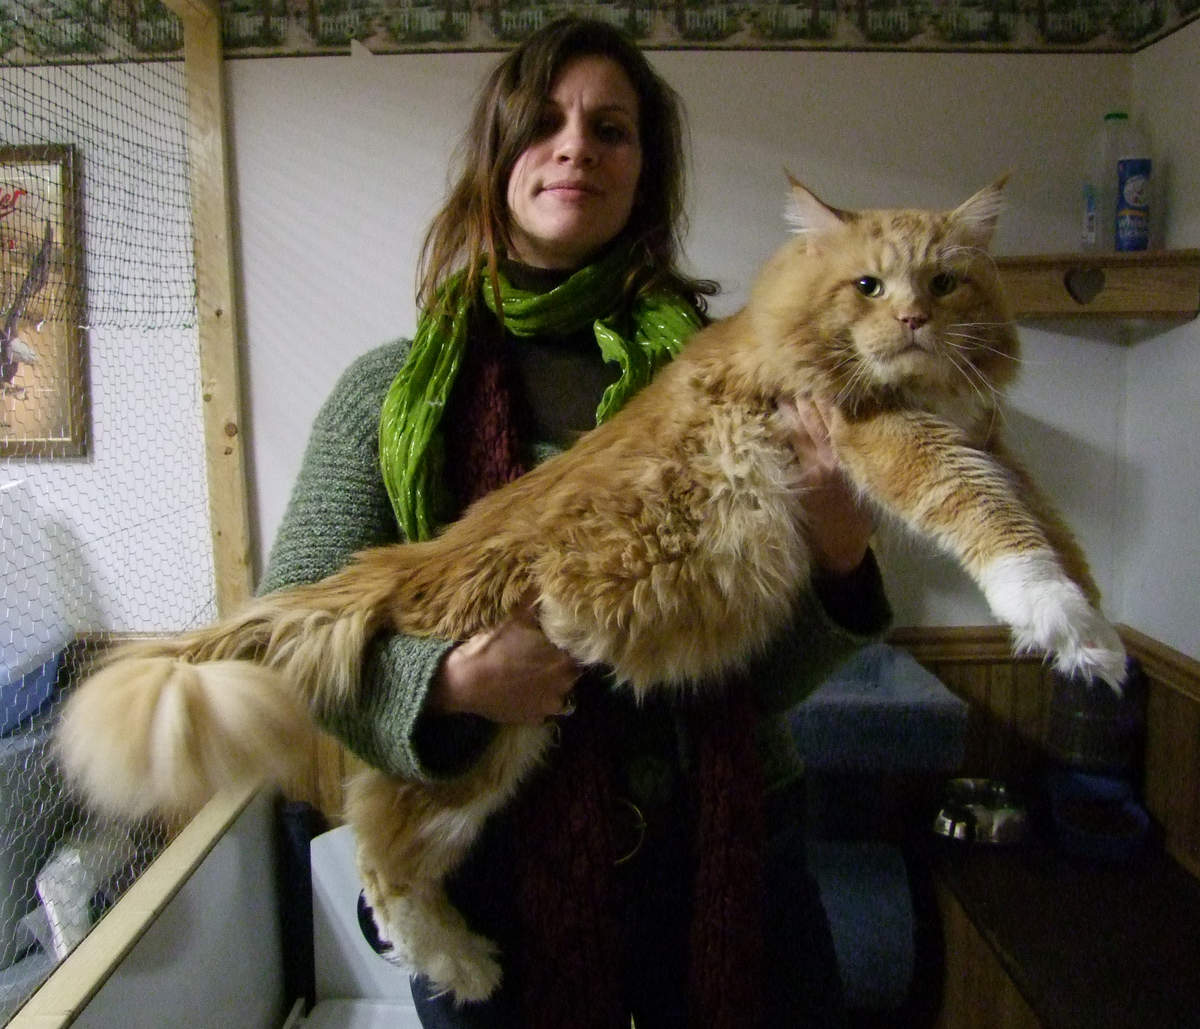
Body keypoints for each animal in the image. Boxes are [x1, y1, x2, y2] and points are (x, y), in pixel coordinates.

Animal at [54, 178, 1123, 1002]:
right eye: (868, 283)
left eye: (943, 281)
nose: (910, 320)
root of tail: (407, 561)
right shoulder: (885, 434)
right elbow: (991, 522)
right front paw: (1056, 618)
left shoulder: (988, 440)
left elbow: (1056, 531)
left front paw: (1095, 637)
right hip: (491, 731)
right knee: (377, 845)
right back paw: (460, 963)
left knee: (385, 834)